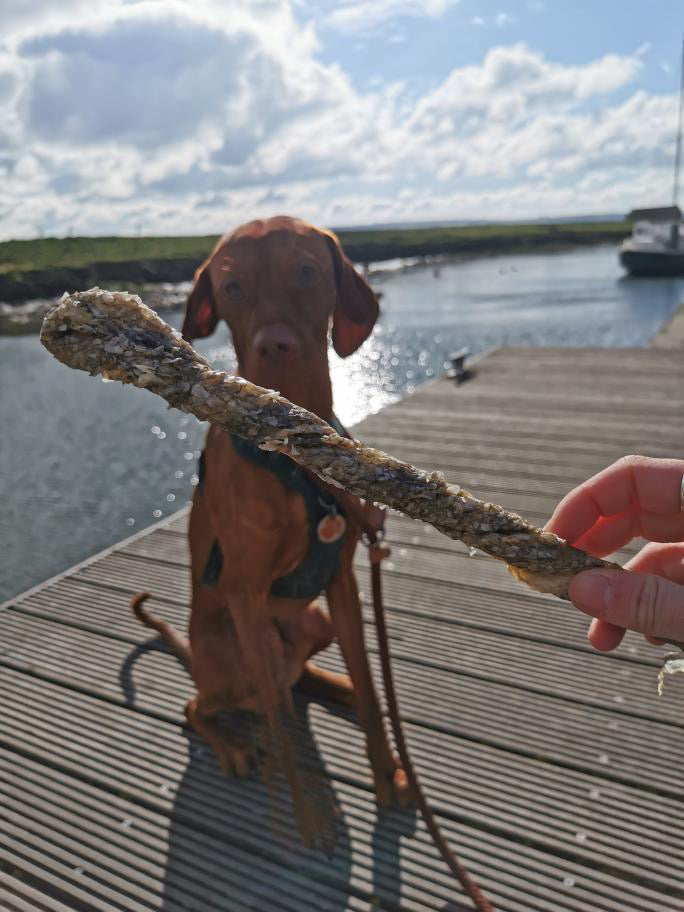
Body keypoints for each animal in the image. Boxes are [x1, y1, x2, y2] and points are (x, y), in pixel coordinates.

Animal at [134, 216, 412, 812]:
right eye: (232, 287)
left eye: (307, 272)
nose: (274, 346)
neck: (293, 448)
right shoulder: (243, 592)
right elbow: (278, 715)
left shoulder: (342, 585)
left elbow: (371, 688)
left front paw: (386, 773)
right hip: (233, 652)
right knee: (206, 704)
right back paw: (235, 746)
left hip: (313, 621)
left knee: (299, 679)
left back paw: (337, 688)